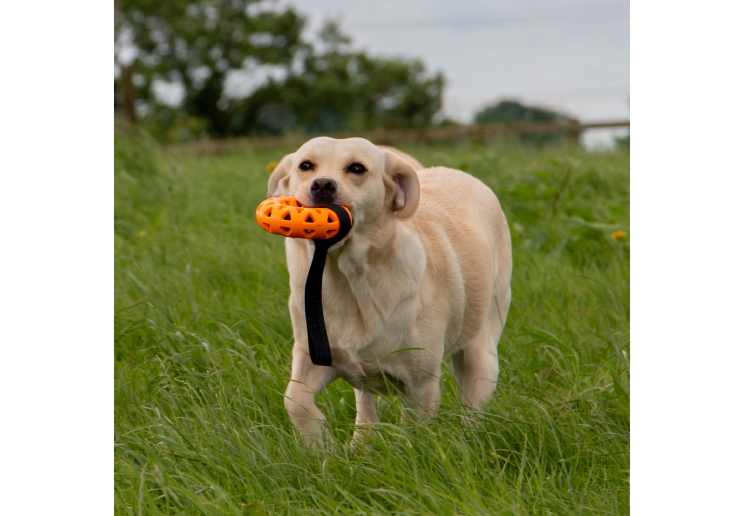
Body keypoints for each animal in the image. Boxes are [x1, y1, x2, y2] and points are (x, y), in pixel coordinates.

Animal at [268, 138, 512, 448]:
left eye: (357, 168)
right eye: (306, 166)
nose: (322, 185)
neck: (347, 279)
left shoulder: (422, 384)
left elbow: (415, 431)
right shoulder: (312, 355)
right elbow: (294, 400)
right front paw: (321, 444)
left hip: (482, 354)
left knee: (473, 404)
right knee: (364, 401)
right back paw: (361, 441)